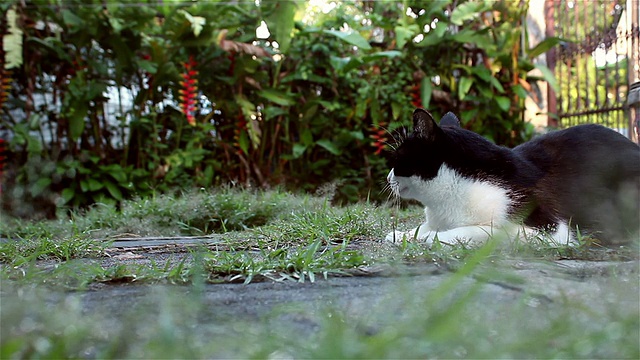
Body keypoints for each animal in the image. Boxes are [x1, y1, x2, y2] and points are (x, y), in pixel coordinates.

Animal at [384, 108, 640, 246]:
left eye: (397, 158)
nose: (387, 177)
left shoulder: (552, 231)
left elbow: (484, 231)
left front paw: (433, 237)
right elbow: (421, 227)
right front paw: (403, 234)